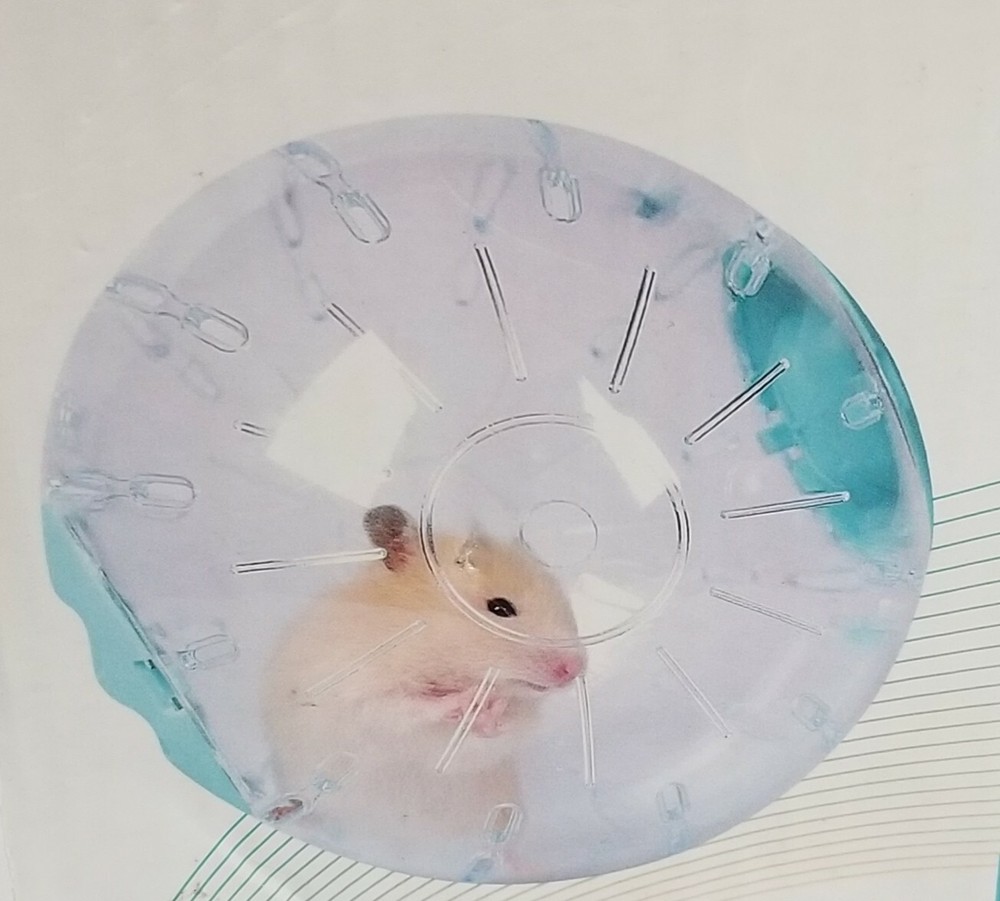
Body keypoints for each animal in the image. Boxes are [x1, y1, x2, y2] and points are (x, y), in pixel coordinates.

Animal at [261, 504, 585, 873]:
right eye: (500, 608)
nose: (576, 670)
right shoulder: (360, 690)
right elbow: (407, 708)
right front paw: (468, 702)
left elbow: (496, 734)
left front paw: (491, 708)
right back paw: (279, 810)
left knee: (501, 848)